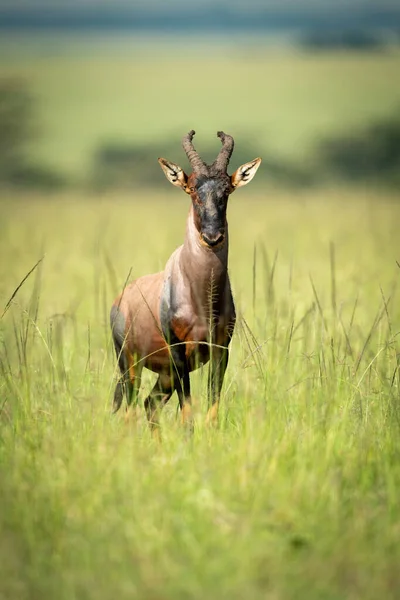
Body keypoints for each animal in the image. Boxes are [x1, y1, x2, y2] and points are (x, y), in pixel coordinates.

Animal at [110, 130, 260, 432]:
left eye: (227, 190)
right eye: (192, 189)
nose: (213, 237)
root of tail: (119, 301)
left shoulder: (221, 350)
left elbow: (212, 411)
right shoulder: (179, 352)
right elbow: (188, 415)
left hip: (163, 374)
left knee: (150, 405)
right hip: (129, 365)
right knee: (130, 411)